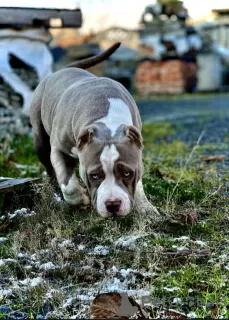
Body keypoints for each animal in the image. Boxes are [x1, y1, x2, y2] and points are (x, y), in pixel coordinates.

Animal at [30, 42, 159, 218]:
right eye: (95, 175)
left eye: (127, 173)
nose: (113, 204)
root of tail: (61, 70)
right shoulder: (58, 149)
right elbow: (68, 184)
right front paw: (81, 199)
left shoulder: (136, 155)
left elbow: (138, 183)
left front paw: (145, 207)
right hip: (41, 142)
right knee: (51, 171)